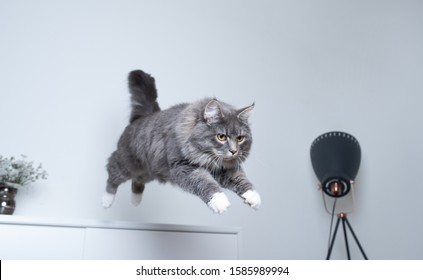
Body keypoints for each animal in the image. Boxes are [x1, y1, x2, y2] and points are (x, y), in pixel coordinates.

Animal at [102, 69, 262, 212]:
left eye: (240, 138)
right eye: (221, 137)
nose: (233, 151)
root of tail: (141, 117)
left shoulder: (225, 169)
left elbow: (240, 179)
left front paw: (253, 197)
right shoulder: (184, 167)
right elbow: (205, 182)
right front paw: (219, 201)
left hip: (148, 171)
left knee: (137, 181)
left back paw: (135, 201)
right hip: (126, 164)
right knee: (112, 173)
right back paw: (106, 201)